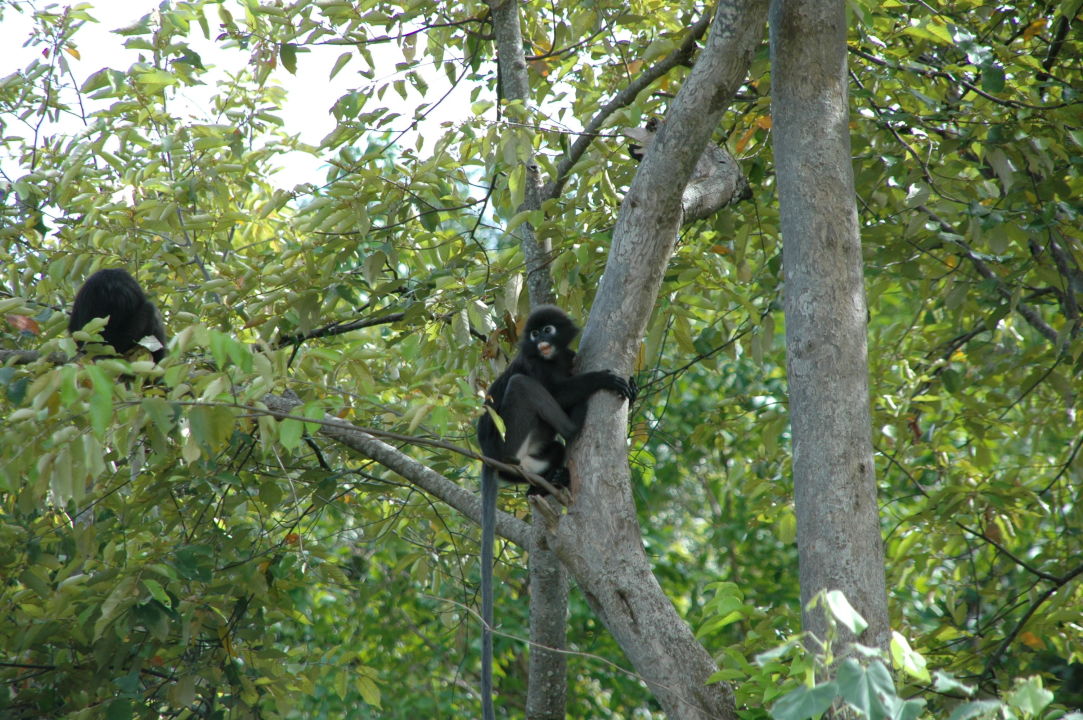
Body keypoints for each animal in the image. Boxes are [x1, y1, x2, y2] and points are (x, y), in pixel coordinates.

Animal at [474, 305, 632, 718]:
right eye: (532, 335)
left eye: (546, 330)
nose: (539, 340)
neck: (551, 358)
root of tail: (489, 458)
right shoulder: (534, 365)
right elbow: (554, 389)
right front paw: (603, 379)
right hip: (511, 440)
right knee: (521, 387)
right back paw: (575, 425)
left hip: (532, 455)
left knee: (552, 453)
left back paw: (551, 479)